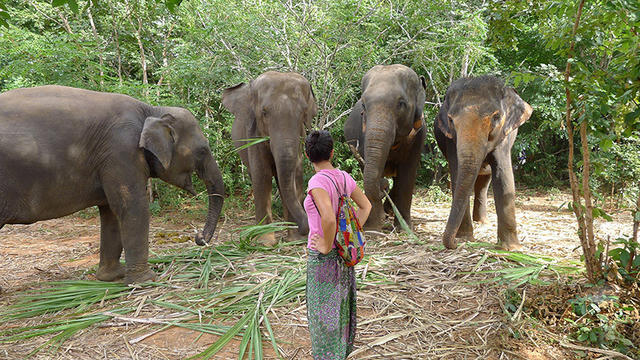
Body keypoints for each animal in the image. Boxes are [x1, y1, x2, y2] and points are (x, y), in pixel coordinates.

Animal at [0, 85, 225, 284]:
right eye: (202, 150)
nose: (199, 237)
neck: (151, 110)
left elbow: (110, 211)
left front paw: (113, 277)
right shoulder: (121, 150)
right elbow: (132, 206)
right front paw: (146, 280)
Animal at [221, 71, 318, 245]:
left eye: (303, 112)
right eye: (264, 112)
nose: (305, 228)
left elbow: (296, 173)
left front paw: (295, 240)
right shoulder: (253, 135)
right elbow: (262, 175)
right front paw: (265, 242)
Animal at [342, 64, 428, 231]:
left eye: (401, 103)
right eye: (363, 105)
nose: (384, 185)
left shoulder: (419, 135)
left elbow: (408, 173)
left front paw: (404, 228)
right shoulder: (363, 135)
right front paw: (373, 228)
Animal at [436, 76, 536, 250]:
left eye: (496, 117)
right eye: (450, 119)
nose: (454, 243)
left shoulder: (504, 136)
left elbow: (503, 177)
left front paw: (511, 248)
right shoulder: (451, 140)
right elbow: (457, 174)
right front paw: (465, 238)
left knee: (484, 182)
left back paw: (482, 222)